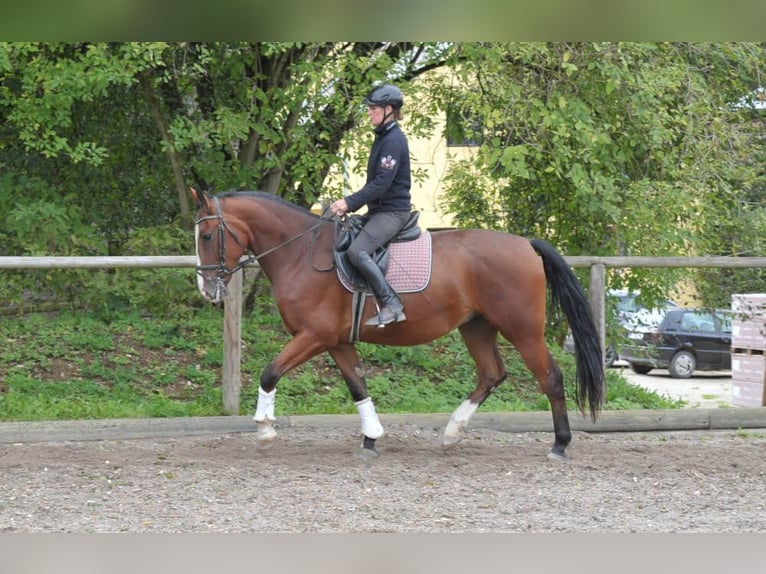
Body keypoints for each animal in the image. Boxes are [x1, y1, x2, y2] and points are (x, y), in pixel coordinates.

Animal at [192, 191, 608, 462]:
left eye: (208, 236)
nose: (207, 290)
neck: (300, 255)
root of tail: (525, 244)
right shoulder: (336, 341)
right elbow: (358, 385)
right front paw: (371, 438)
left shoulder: (313, 336)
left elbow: (269, 373)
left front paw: (264, 430)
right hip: (476, 327)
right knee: (492, 373)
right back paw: (452, 432)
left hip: (522, 330)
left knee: (550, 377)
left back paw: (560, 444)